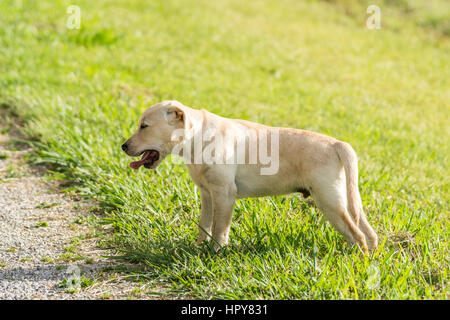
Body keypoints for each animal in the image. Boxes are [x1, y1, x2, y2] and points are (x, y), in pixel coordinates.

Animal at [122, 100, 376, 252]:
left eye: (144, 126)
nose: (123, 146)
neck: (197, 138)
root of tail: (336, 144)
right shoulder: (207, 195)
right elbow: (204, 224)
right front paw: (199, 247)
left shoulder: (224, 195)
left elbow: (219, 227)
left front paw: (215, 253)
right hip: (346, 200)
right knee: (367, 231)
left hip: (330, 202)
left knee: (357, 235)